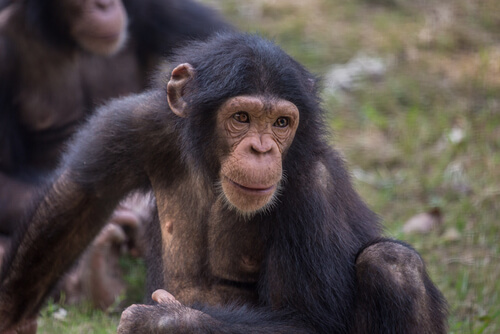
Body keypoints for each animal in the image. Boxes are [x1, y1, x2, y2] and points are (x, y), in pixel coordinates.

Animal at [0, 33, 448, 334]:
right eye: (242, 118)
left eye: (281, 123)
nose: (262, 150)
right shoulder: (136, 123)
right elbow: (79, 197)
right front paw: (11, 315)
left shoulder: (314, 189)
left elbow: (310, 322)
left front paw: (166, 321)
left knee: (392, 263)